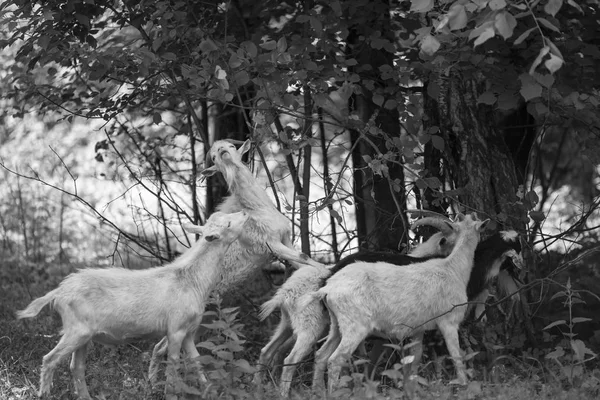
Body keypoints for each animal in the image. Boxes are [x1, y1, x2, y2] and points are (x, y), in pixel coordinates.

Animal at [17, 209, 248, 400]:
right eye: (228, 223)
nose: (245, 213)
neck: (192, 281)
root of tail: (59, 291)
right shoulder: (176, 330)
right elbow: (172, 367)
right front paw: (170, 394)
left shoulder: (189, 331)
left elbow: (197, 362)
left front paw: (211, 391)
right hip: (76, 330)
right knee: (50, 359)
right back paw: (44, 394)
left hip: (83, 334)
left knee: (76, 366)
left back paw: (86, 397)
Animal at [252, 214, 454, 396]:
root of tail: (286, 292)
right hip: (311, 326)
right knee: (291, 358)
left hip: (289, 324)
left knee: (268, 351)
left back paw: (260, 388)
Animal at [312, 214, 490, 392]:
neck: (453, 268)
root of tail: (327, 288)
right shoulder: (449, 321)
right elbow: (456, 355)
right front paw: (464, 385)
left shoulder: (419, 328)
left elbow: (415, 357)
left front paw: (412, 386)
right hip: (355, 326)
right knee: (335, 360)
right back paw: (334, 392)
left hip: (336, 324)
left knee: (321, 355)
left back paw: (319, 391)